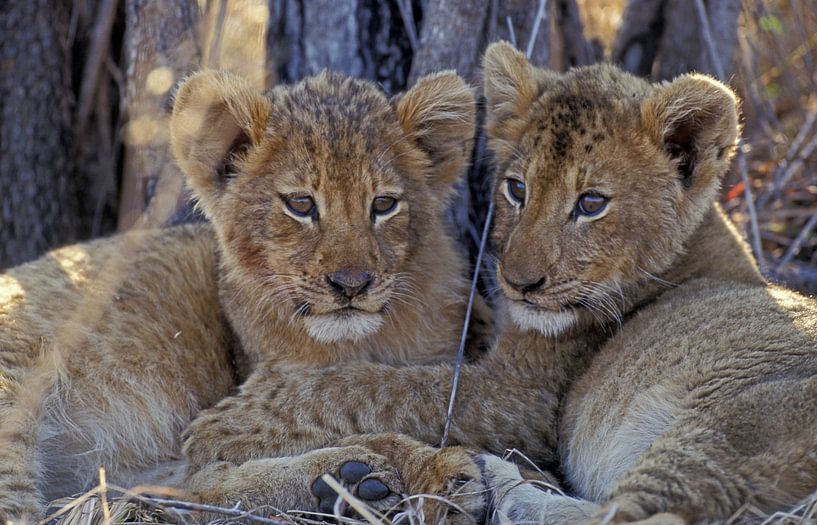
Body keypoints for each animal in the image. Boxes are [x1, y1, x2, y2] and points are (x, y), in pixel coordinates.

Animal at [0, 69, 490, 522]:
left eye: (384, 204)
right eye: (300, 205)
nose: (352, 283)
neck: (362, 340)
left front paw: (435, 475)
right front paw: (429, 472)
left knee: (182, 489)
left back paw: (351, 479)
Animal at [185, 43, 817, 525]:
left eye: (591, 203)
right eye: (517, 189)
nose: (519, 283)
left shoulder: (520, 397)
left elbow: (380, 386)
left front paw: (230, 422)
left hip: (728, 428)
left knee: (641, 515)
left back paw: (488, 481)